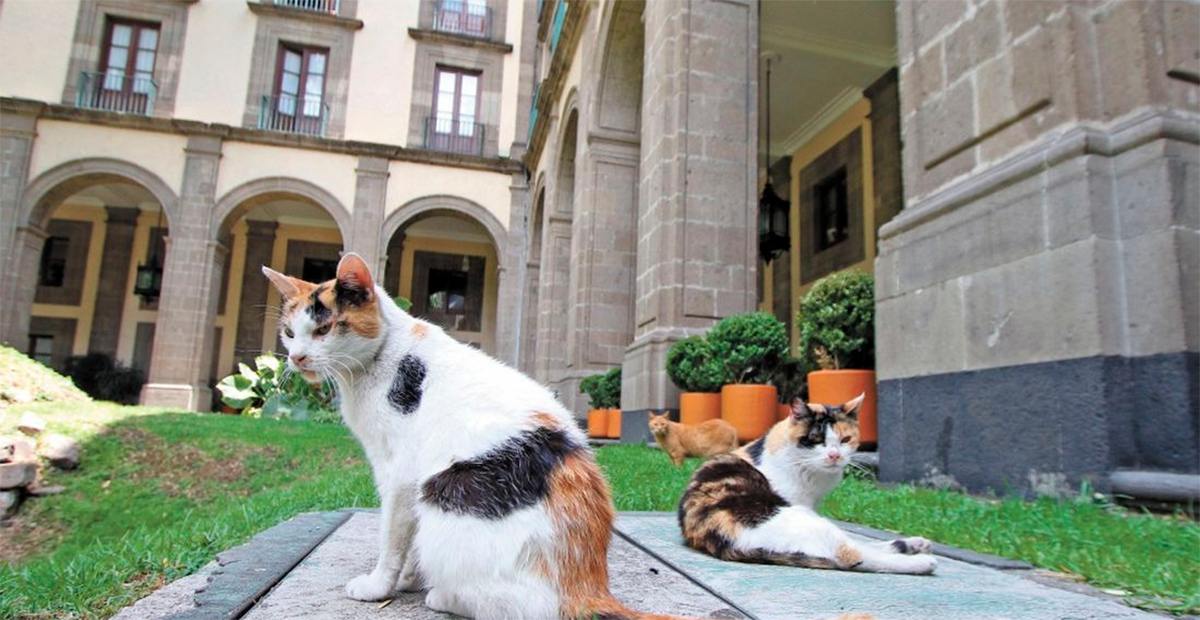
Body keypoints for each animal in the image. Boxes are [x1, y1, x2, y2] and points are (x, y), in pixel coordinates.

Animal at [265, 253, 873, 618]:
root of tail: (586, 583)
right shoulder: (406, 484)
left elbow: (393, 539)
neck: (377, 366)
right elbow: (406, 541)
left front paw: (382, 585)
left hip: (446, 492)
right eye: (290, 331)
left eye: (325, 327)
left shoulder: (398, 476)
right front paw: (408, 578)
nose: (296, 358)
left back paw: (442, 595)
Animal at [676, 393, 936, 573]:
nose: (834, 455)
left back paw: (916, 544)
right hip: (800, 518)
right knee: (852, 554)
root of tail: (721, 541)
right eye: (816, 439)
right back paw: (923, 562)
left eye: (845, 439)